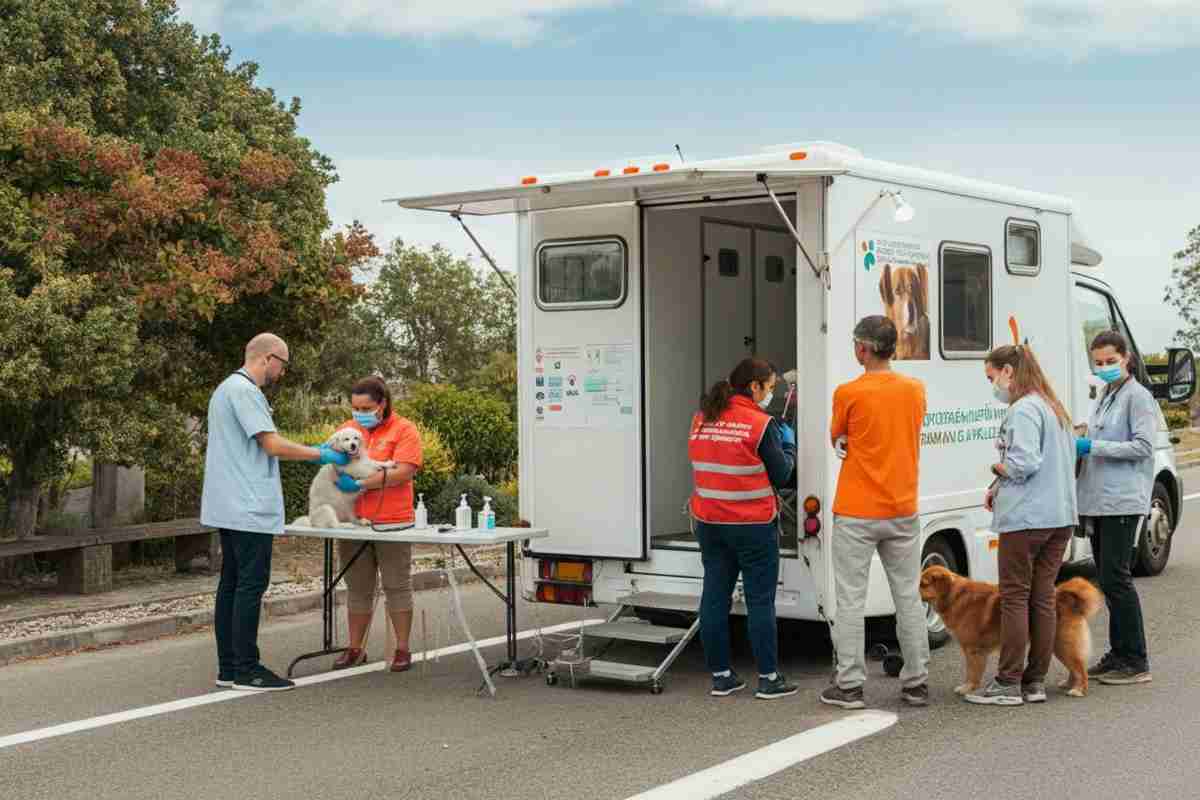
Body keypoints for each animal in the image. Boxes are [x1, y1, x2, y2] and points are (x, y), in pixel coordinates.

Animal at [916, 566, 1104, 695]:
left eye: (923, 584)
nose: (912, 594)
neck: (955, 596)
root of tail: (1065, 597)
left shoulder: (973, 651)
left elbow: (972, 673)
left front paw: (968, 688)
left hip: (1063, 644)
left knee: (1080, 668)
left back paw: (1079, 689)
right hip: (1058, 645)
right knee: (1075, 667)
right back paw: (1069, 684)